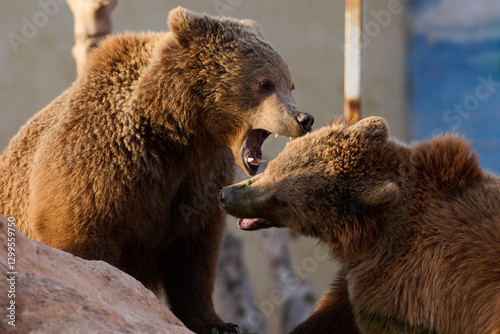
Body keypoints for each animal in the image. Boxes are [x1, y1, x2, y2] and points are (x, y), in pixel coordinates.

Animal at [0, 7, 312, 334]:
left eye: (289, 84)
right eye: (265, 83)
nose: (303, 118)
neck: (176, 134)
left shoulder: (198, 180)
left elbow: (193, 256)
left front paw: (219, 323)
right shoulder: (96, 166)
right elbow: (83, 239)